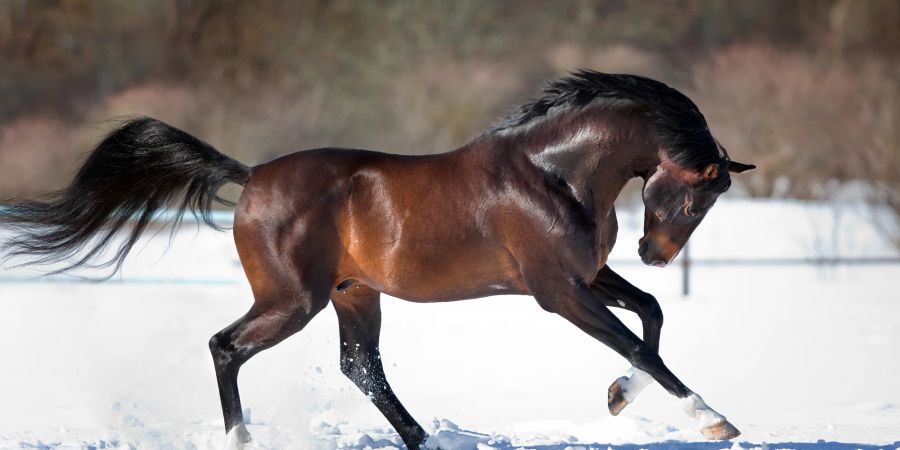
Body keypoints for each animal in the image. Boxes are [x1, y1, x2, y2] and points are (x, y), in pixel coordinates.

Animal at [1, 72, 752, 448]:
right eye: (696, 196)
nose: (654, 253)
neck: (553, 173)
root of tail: (252, 177)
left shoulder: (588, 276)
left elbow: (650, 319)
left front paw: (618, 397)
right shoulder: (558, 290)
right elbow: (641, 342)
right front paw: (715, 421)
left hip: (353, 293)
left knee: (360, 367)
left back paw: (425, 442)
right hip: (292, 301)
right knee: (226, 347)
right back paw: (243, 439)